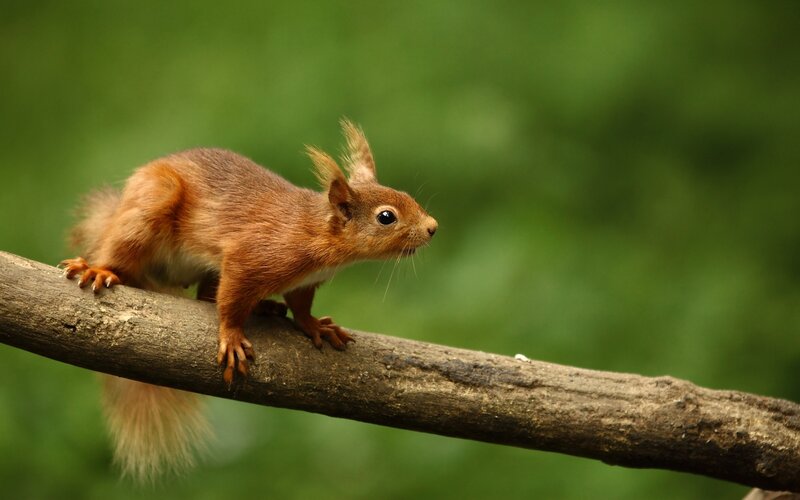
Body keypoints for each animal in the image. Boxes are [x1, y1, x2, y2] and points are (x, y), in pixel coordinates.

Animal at [59, 120, 437, 481]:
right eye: (386, 217)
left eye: (405, 195)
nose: (433, 227)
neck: (316, 233)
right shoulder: (250, 257)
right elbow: (230, 302)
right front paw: (231, 337)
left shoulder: (305, 282)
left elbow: (300, 306)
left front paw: (315, 326)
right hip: (151, 206)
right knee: (124, 252)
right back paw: (98, 269)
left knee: (205, 294)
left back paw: (265, 306)